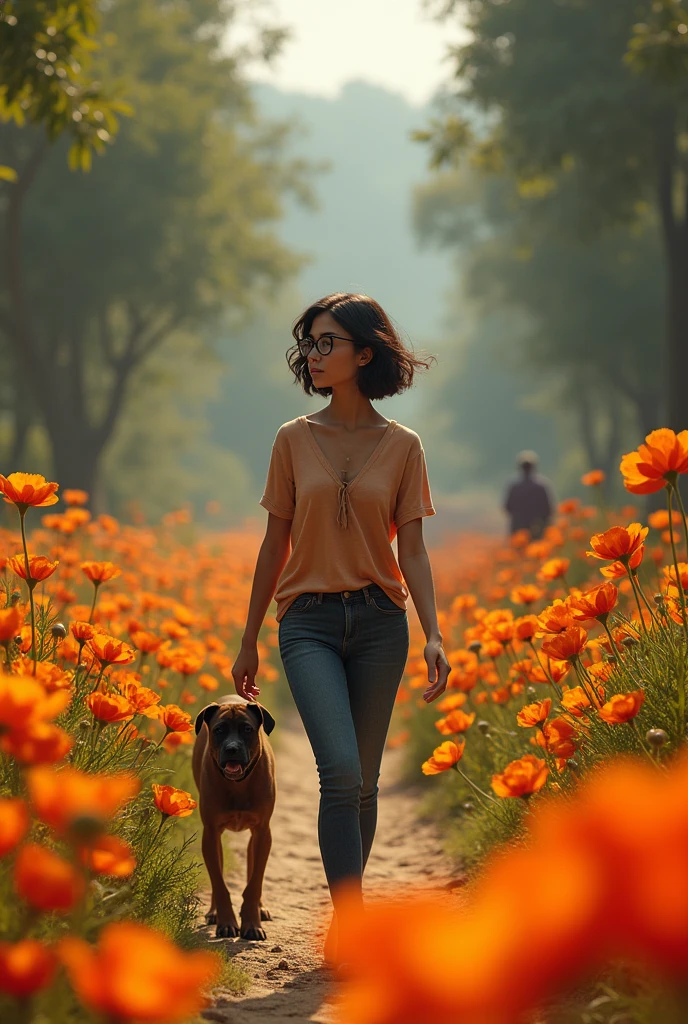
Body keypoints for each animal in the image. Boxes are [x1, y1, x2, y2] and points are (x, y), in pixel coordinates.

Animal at [190, 692, 276, 937]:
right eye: (219, 730)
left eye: (247, 729)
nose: (232, 749)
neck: (238, 784)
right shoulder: (210, 834)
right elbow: (219, 884)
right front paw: (226, 921)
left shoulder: (262, 833)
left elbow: (254, 883)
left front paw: (252, 923)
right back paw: (214, 913)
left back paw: (260, 908)